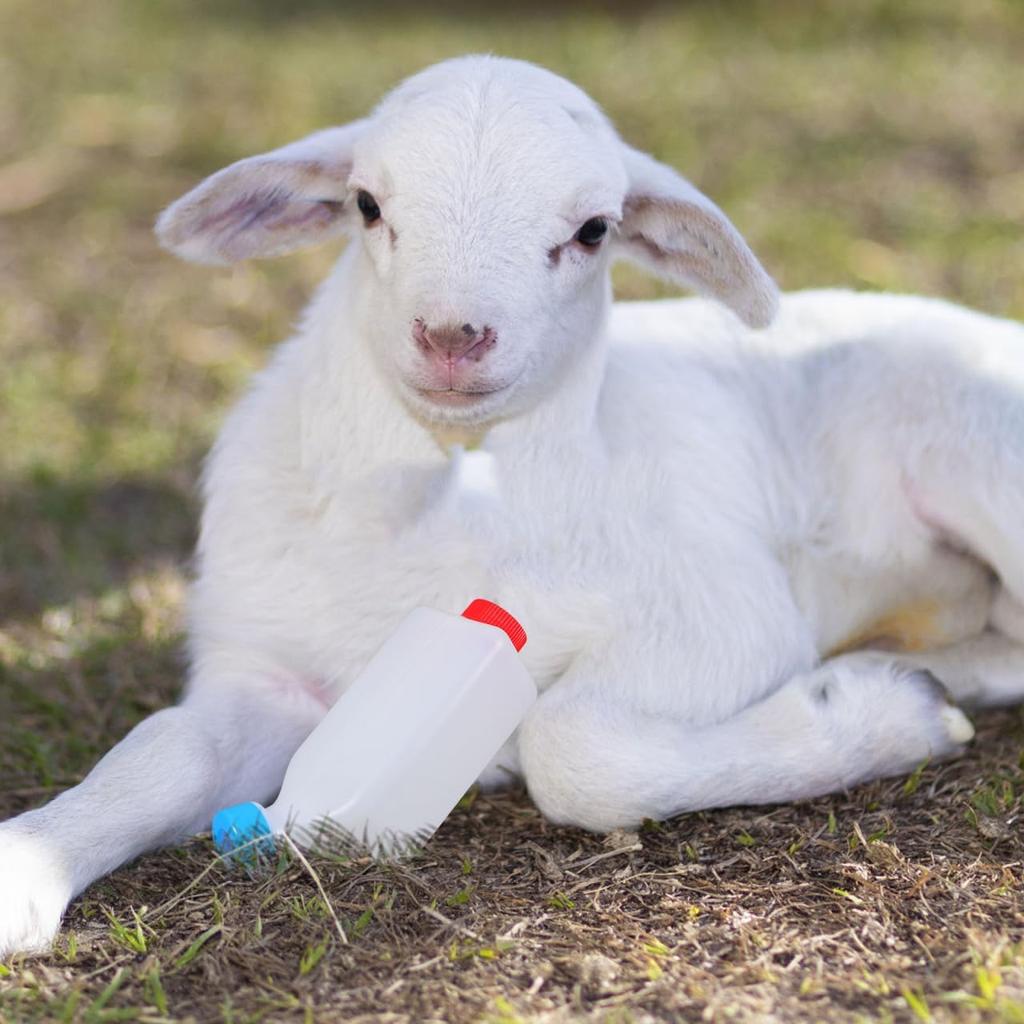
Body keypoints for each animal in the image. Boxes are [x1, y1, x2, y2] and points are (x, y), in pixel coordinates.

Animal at [2, 53, 1023, 958]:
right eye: (367, 205)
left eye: (596, 229)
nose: (453, 334)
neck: (455, 503)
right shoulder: (265, 665)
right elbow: (165, 749)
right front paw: (27, 870)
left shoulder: (722, 614)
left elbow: (570, 747)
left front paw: (879, 719)